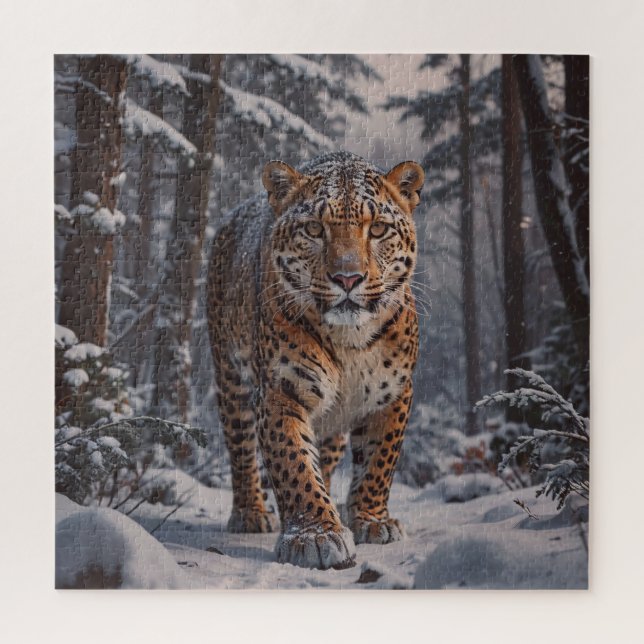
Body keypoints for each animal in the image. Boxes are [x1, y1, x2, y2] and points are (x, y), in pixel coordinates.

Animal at [207, 151, 424, 570]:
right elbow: (294, 464)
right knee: (241, 448)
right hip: (231, 378)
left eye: (378, 230)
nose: (348, 278)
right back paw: (251, 513)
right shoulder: (281, 393)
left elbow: (380, 461)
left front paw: (371, 520)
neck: (350, 341)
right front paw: (315, 534)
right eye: (313, 229)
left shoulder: (395, 394)